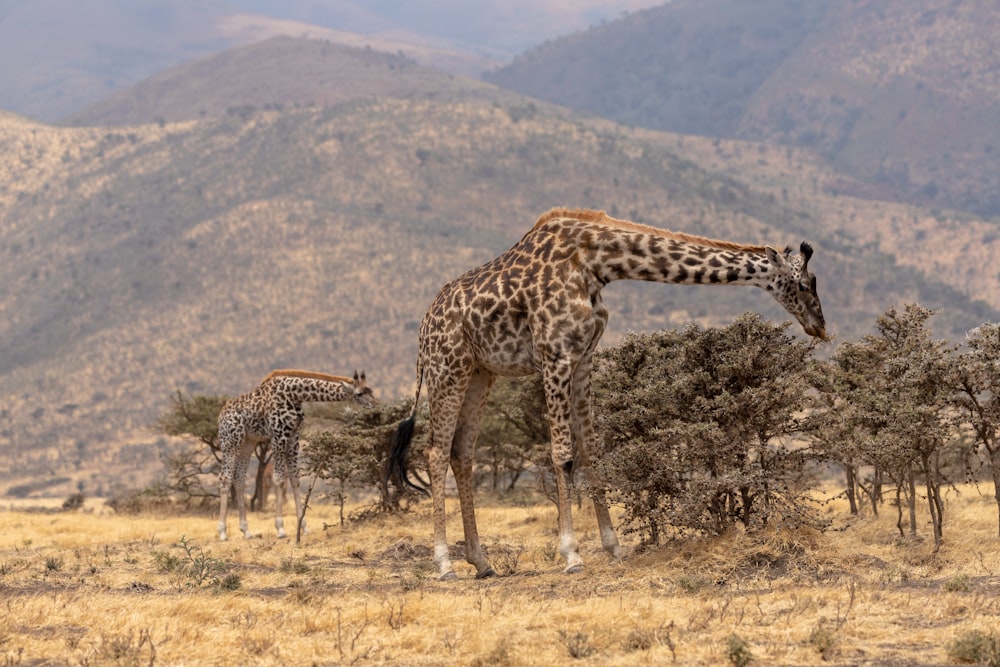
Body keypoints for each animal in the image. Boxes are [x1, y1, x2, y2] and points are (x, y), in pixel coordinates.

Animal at [217, 370, 376, 544]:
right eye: (359, 393)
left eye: (371, 390)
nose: (375, 405)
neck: (294, 395)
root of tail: (220, 416)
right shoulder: (278, 435)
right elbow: (279, 479)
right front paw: (280, 529)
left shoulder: (294, 437)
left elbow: (295, 480)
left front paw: (304, 527)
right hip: (231, 442)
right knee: (225, 478)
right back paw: (222, 533)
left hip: (248, 442)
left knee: (239, 479)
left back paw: (246, 531)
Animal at [386, 207, 824, 580]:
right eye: (804, 284)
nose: (819, 325)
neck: (595, 263)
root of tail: (423, 328)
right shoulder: (556, 356)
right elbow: (562, 454)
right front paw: (572, 555)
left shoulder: (583, 358)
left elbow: (592, 452)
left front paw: (614, 548)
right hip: (448, 368)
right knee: (436, 452)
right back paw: (444, 563)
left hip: (481, 372)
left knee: (462, 453)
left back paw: (481, 561)